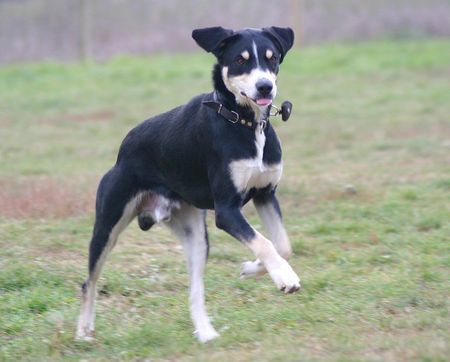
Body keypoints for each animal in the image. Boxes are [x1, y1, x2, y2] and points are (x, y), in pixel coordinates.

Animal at [76, 25, 302, 342]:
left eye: (272, 58)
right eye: (240, 60)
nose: (265, 87)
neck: (242, 121)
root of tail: (123, 150)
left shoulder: (265, 194)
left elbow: (281, 244)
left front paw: (252, 268)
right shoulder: (227, 211)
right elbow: (264, 242)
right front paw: (284, 276)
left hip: (195, 235)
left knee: (194, 290)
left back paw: (206, 333)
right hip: (107, 225)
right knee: (89, 281)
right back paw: (83, 331)